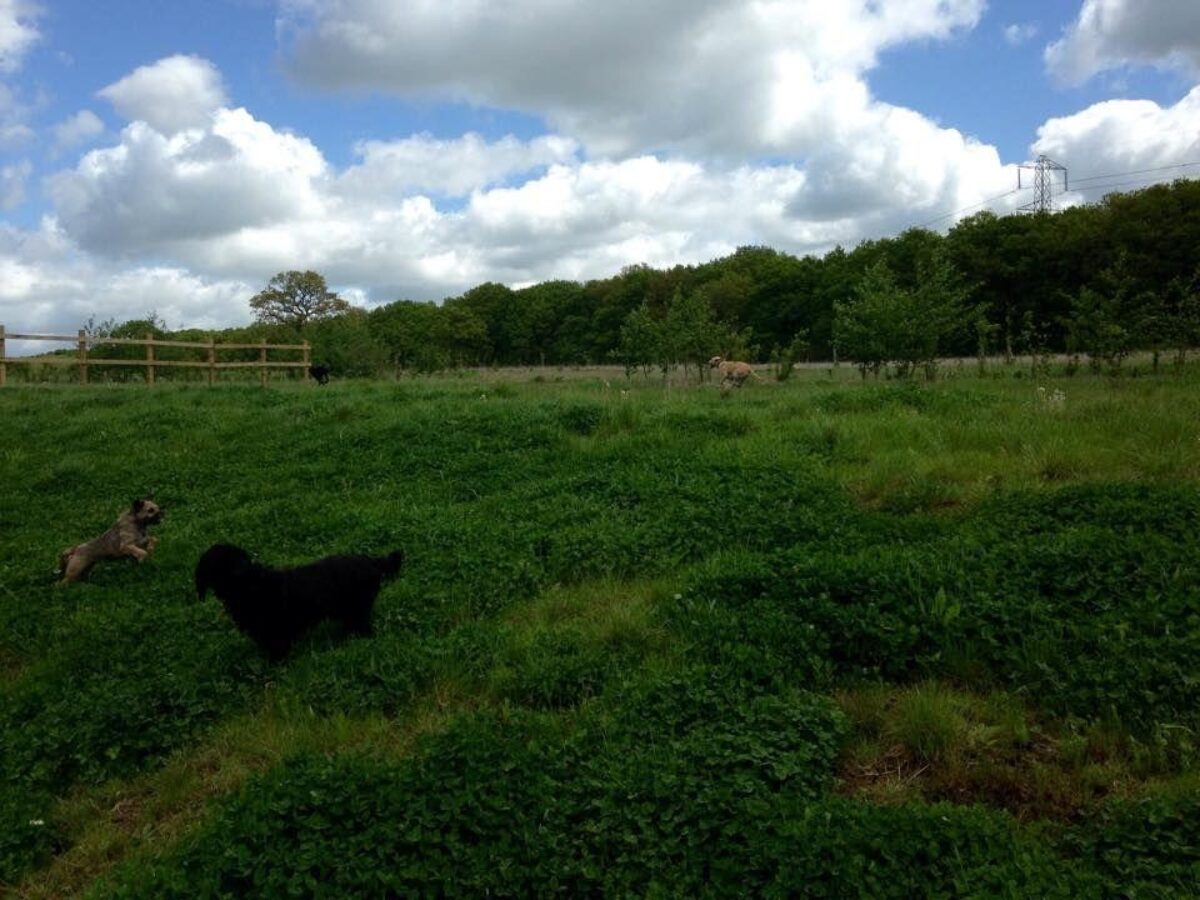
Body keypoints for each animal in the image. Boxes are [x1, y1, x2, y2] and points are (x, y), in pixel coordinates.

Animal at [194, 542, 405, 662]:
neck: (251, 587)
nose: (241, 571)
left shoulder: (276, 633)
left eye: (239, 558)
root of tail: (371, 560)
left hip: (358, 609)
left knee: (363, 628)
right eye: (219, 564)